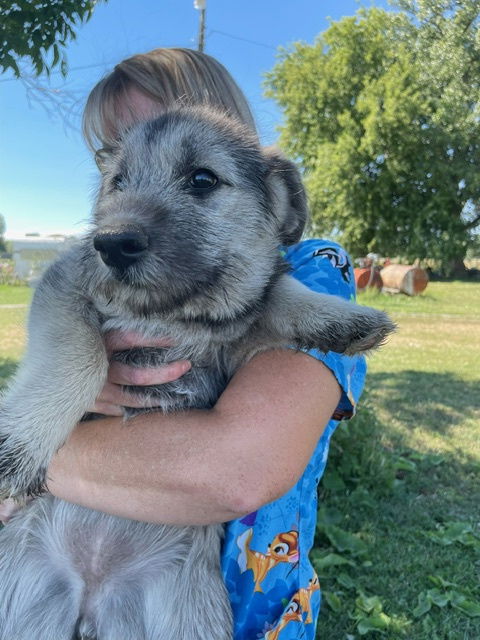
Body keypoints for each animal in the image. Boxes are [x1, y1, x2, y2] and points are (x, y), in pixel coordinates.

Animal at [0, 107, 394, 636]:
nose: (110, 244)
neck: (177, 314)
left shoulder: (239, 338)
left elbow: (276, 292)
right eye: (118, 182)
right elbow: (82, 356)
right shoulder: (65, 288)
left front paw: (340, 318)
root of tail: (91, 593)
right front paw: (23, 446)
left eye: (202, 179)